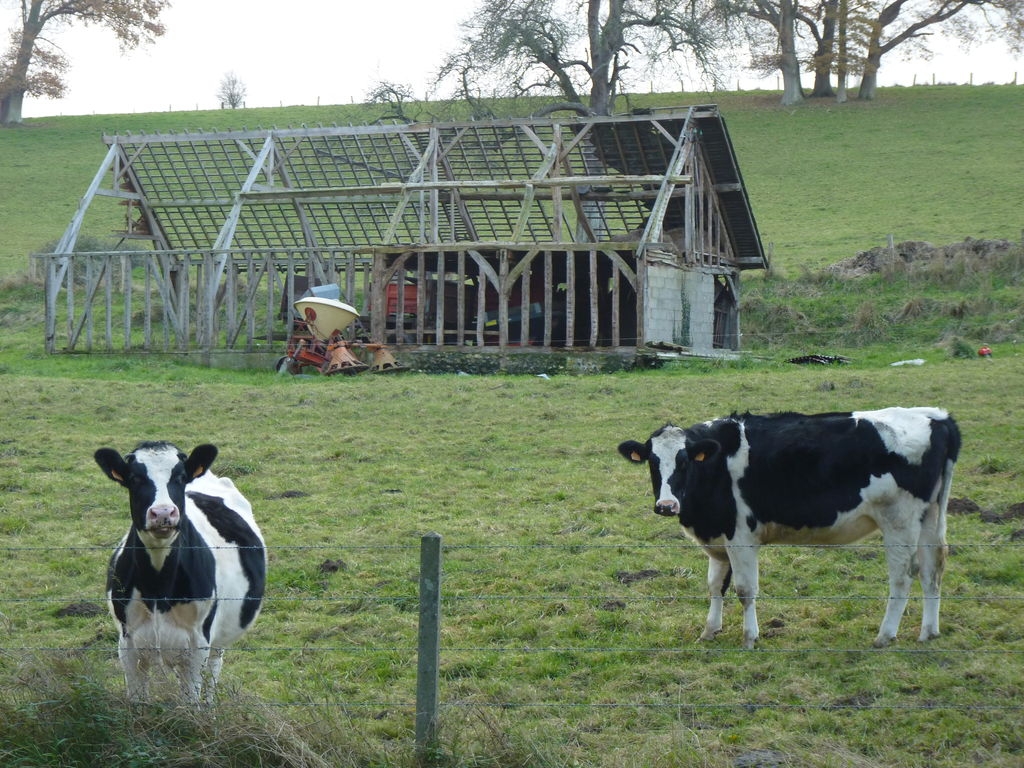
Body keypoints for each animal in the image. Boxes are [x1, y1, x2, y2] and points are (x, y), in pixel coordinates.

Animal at [95, 441, 266, 703]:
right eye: (134, 478)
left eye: (181, 477)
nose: (164, 512)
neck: (158, 586)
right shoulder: (128, 644)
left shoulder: (198, 644)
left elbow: (190, 703)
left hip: (216, 642)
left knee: (212, 674)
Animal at [617, 407, 960, 649]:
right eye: (652, 462)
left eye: (685, 460)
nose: (666, 505)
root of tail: (937, 417)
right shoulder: (719, 537)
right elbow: (716, 586)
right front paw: (709, 631)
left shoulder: (741, 536)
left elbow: (745, 590)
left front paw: (750, 637)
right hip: (930, 515)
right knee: (933, 567)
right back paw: (929, 632)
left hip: (899, 519)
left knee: (903, 575)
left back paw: (885, 635)